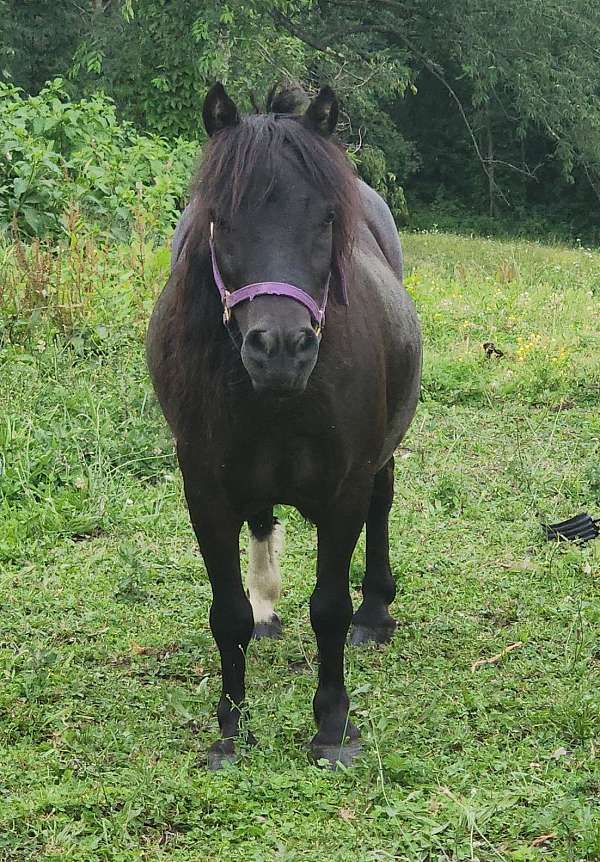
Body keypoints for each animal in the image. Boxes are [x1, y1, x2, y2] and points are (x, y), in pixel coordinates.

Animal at [146, 83, 422, 769]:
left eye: (325, 218)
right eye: (221, 219)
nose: (280, 349)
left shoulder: (344, 487)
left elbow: (329, 607)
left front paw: (332, 725)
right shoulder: (206, 489)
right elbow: (227, 615)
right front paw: (230, 728)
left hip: (380, 458)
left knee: (382, 505)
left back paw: (375, 613)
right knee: (262, 519)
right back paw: (268, 604)